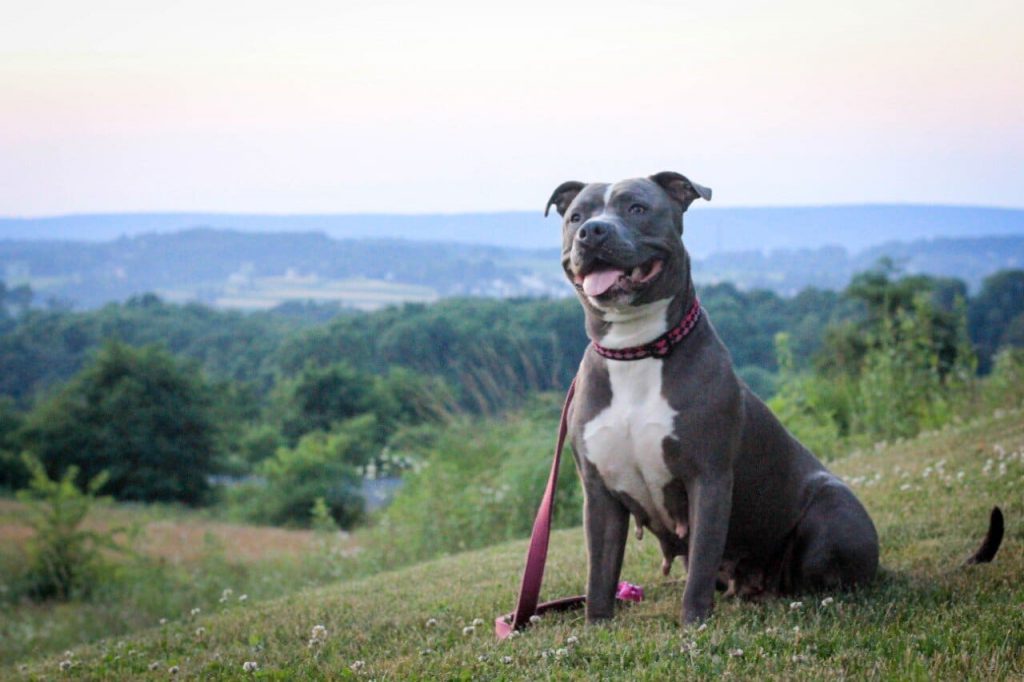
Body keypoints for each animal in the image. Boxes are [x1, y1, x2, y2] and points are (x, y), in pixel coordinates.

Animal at [544, 173, 880, 622]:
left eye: (637, 208)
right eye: (577, 216)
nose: (593, 231)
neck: (636, 349)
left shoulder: (709, 477)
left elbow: (702, 556)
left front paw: (693, 620)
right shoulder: (600, 491)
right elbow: (599, 570)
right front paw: (597, 623)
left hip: (831, 509)